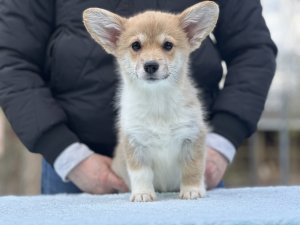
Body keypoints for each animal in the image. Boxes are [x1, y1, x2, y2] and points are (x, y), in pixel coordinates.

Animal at [83, 1, 219, 202]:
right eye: (136, 45)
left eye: (168, 45)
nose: (151, 66)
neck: (157, 99)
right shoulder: (135, 142)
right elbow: (141, 173)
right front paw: (142, 194)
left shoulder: (192, 137)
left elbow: (192, 169)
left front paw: (192, 190)